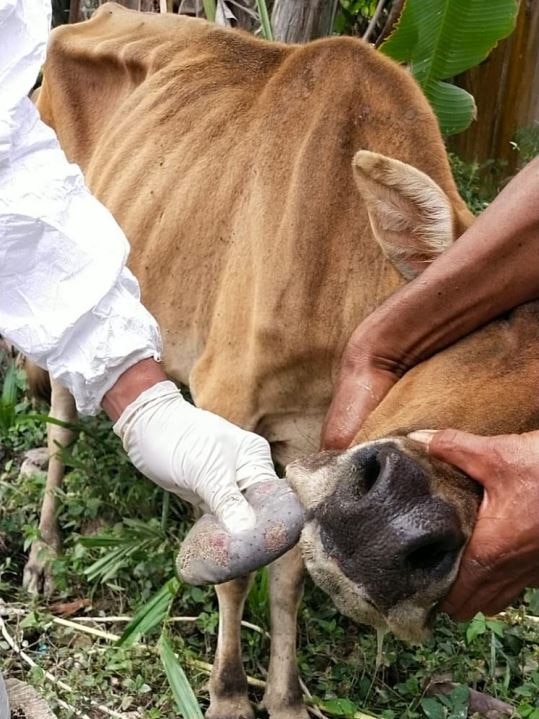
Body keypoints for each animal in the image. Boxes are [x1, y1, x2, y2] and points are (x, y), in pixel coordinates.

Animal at [24, 5, 539, 719]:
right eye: (482, 323)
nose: (391, 529)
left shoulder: (311, 440)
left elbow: (290, 575)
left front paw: (287, 695)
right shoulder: (228, 399)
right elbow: (237, 573)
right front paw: (229, 693)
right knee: (63, 420)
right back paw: (45, 550)